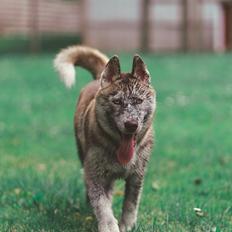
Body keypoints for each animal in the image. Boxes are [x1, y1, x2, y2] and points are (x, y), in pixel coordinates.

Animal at [53, 45, 157, 232]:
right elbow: (101, 203)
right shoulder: (95, 174)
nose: (131, 125)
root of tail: (97, 79)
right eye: (117, 101)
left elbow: (131, 202)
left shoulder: (137, 175)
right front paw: (109, 225)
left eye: (138, 100)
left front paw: (127, 225)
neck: (117, 148)